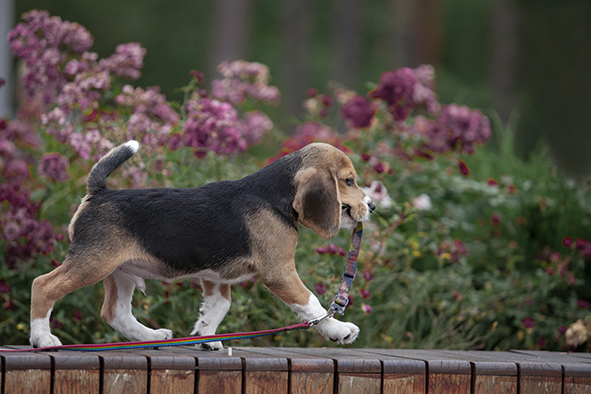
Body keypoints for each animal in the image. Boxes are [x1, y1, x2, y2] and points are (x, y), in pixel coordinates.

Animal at [28, 141, 374, 348]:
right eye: (349, 180)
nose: (371, 206)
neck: (275, 195)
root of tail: (98, 192)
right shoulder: (280, 272)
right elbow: (311, 304)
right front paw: (339, 330)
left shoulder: (215, 277)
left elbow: (218, 307)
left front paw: (205, 337)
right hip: (93, 262)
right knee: (43, 285)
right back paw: (43, 339)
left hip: (121, 271)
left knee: (115, 312)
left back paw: (152, 335)